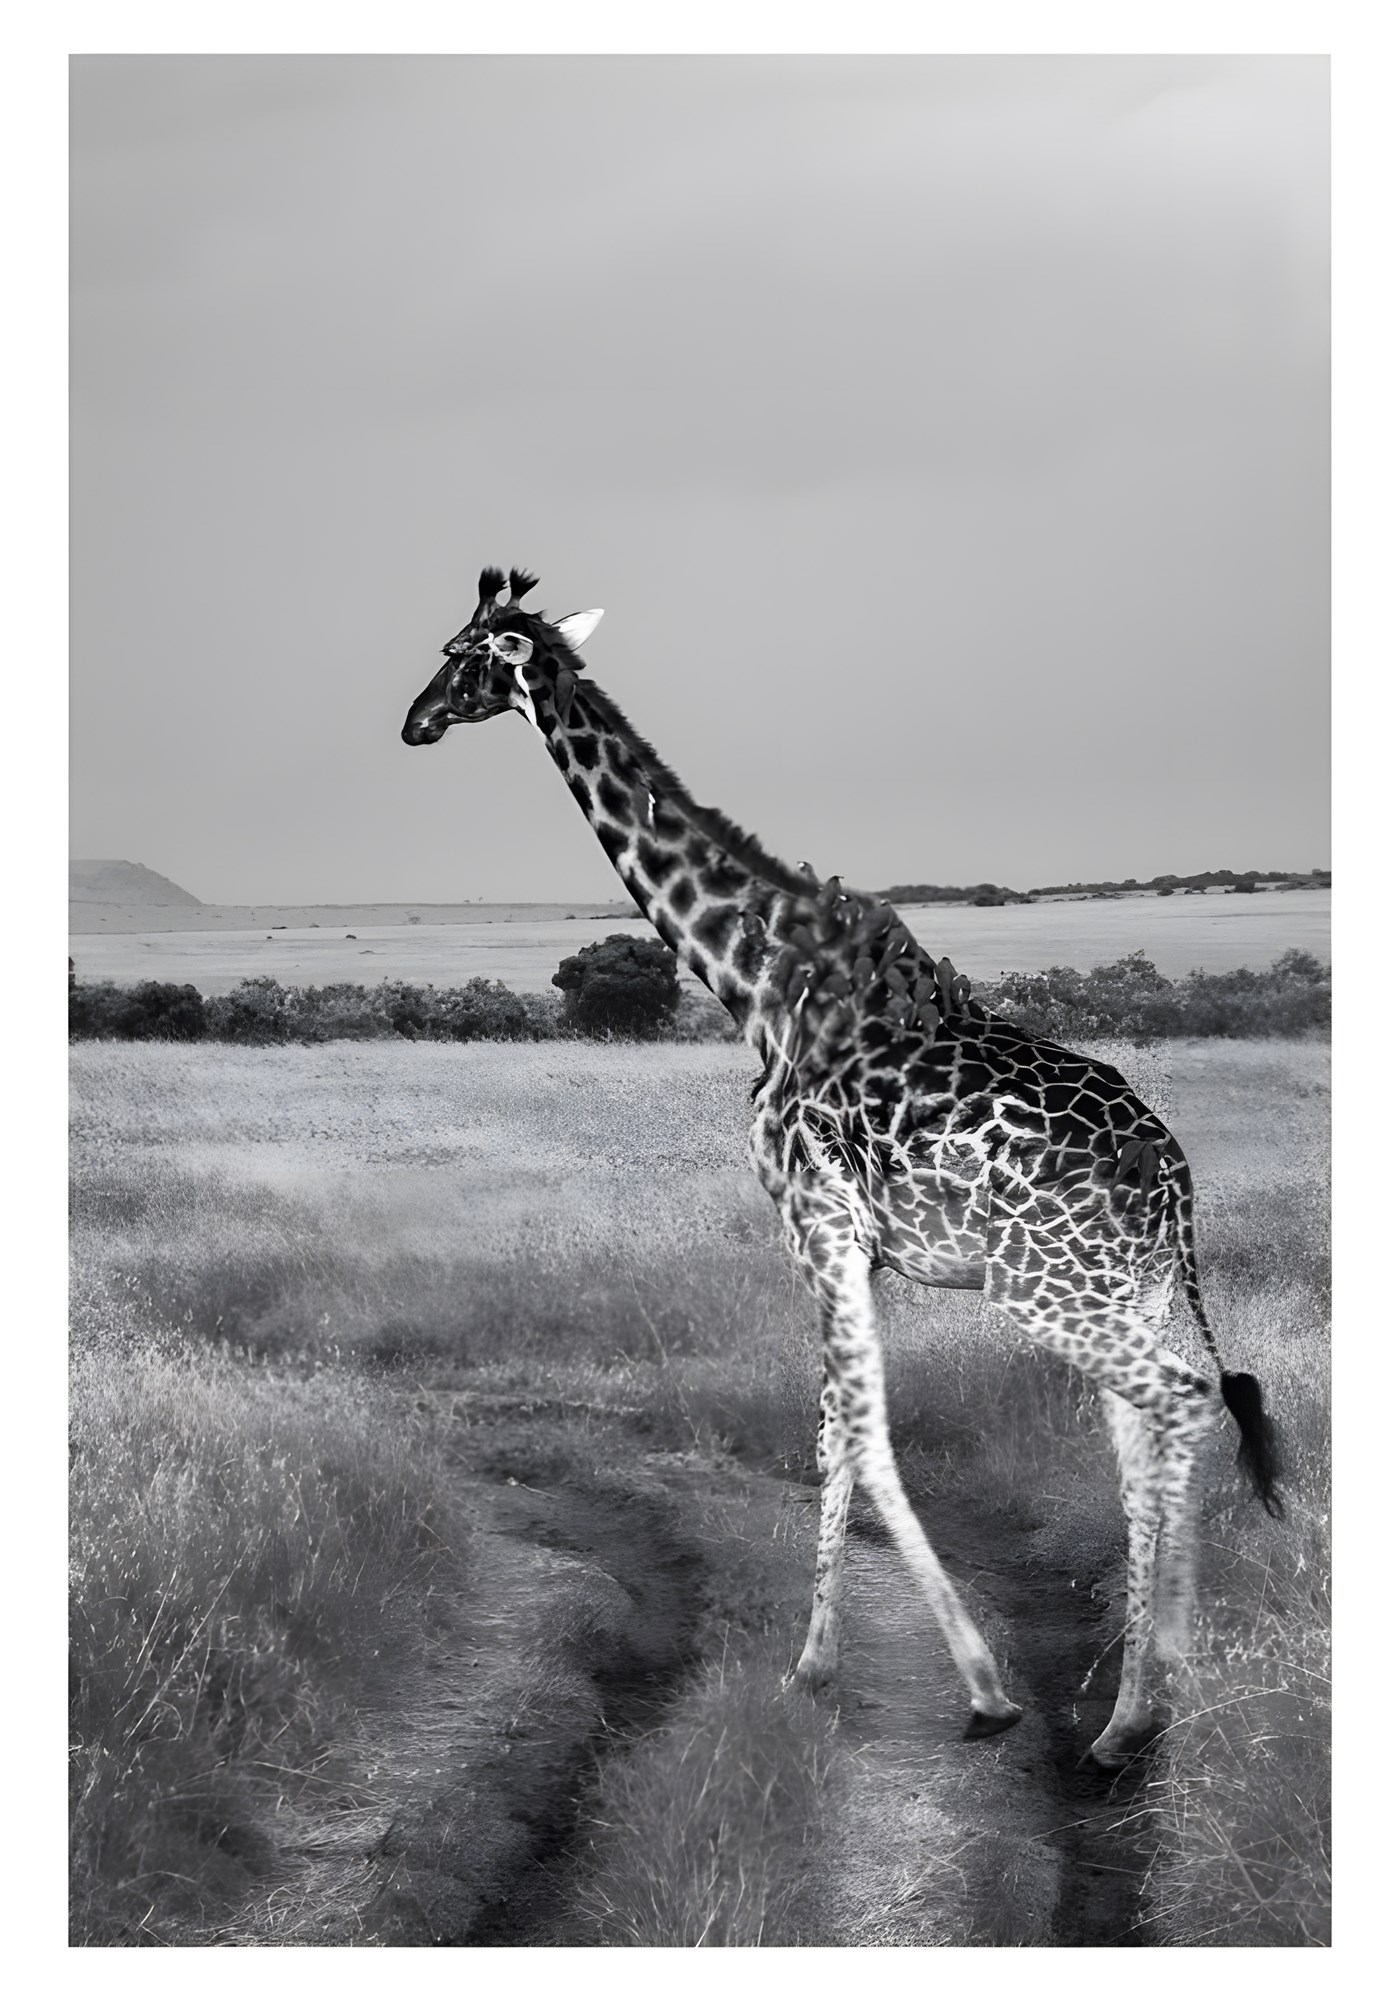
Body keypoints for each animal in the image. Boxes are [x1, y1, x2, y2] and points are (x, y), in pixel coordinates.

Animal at [401, 567, 1283, 1768]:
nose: (413, 721)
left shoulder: (811, 1222)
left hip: (1045, 1290)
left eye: (460, 653)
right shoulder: (860, 1248)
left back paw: (1156, 1698)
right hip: (1121, 1289)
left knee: (1187, 1404)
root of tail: (1174, 1179)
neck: (753, 981)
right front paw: (816, 1662)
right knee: (1139, 1446)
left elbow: (860, 1434)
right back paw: (1120, 1713)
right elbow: (834, 1434)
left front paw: (979, 1688)